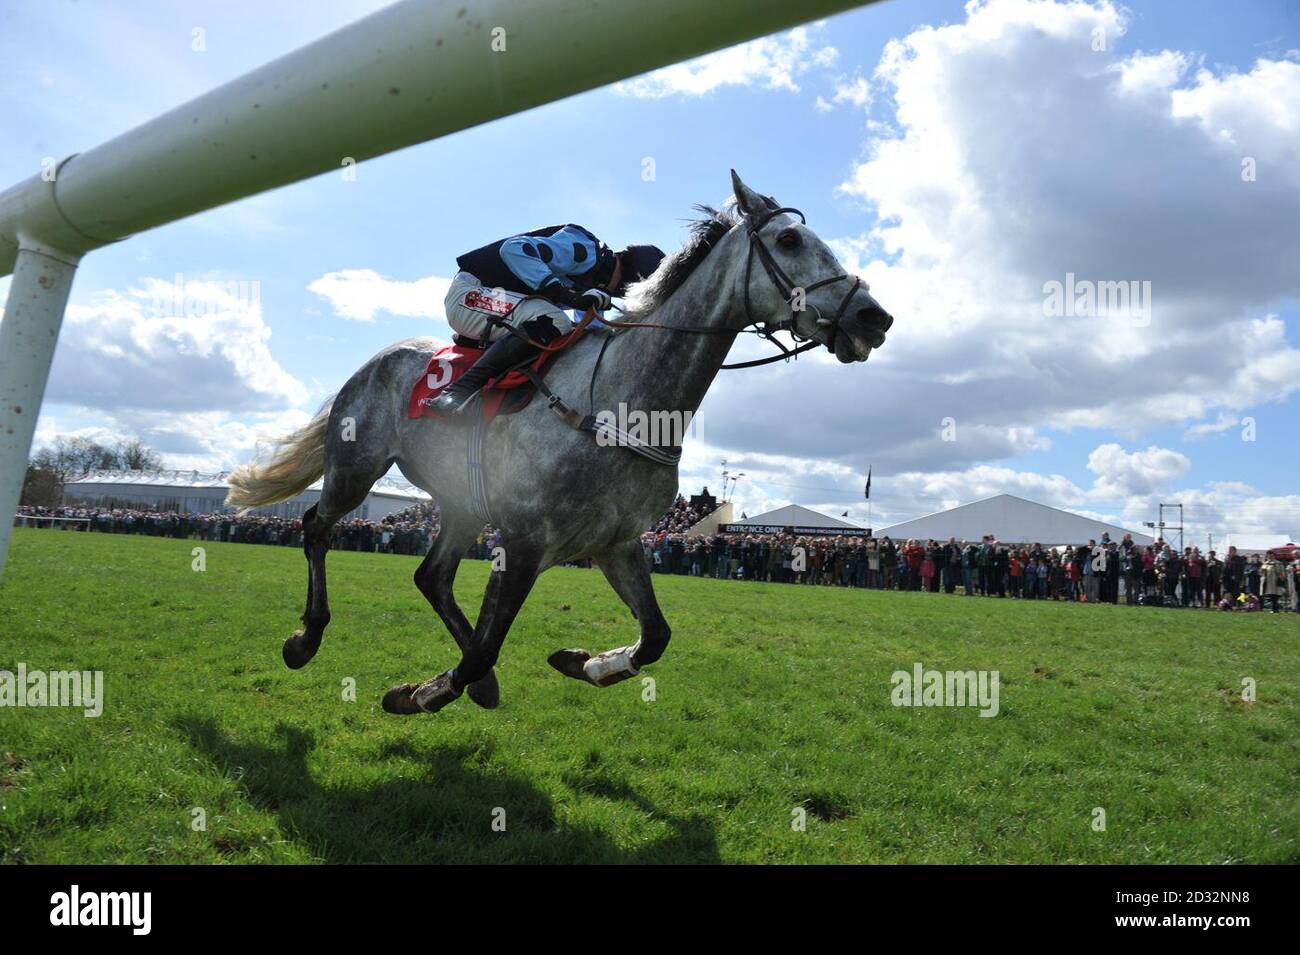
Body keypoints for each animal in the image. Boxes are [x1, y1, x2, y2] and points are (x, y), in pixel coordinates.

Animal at [226, 174, 894, 717]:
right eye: (789, 241)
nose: (873, 317)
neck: (624, 402)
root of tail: (374, 361)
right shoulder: (525, 543)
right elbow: (487, 647)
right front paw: (420, 693)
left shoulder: (614, 542)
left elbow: (656, 636)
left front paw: (585, 662)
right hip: (356, 467)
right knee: (316, 527)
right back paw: (307, 638)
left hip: (461, 503)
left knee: (430, 576)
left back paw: (481, 683)